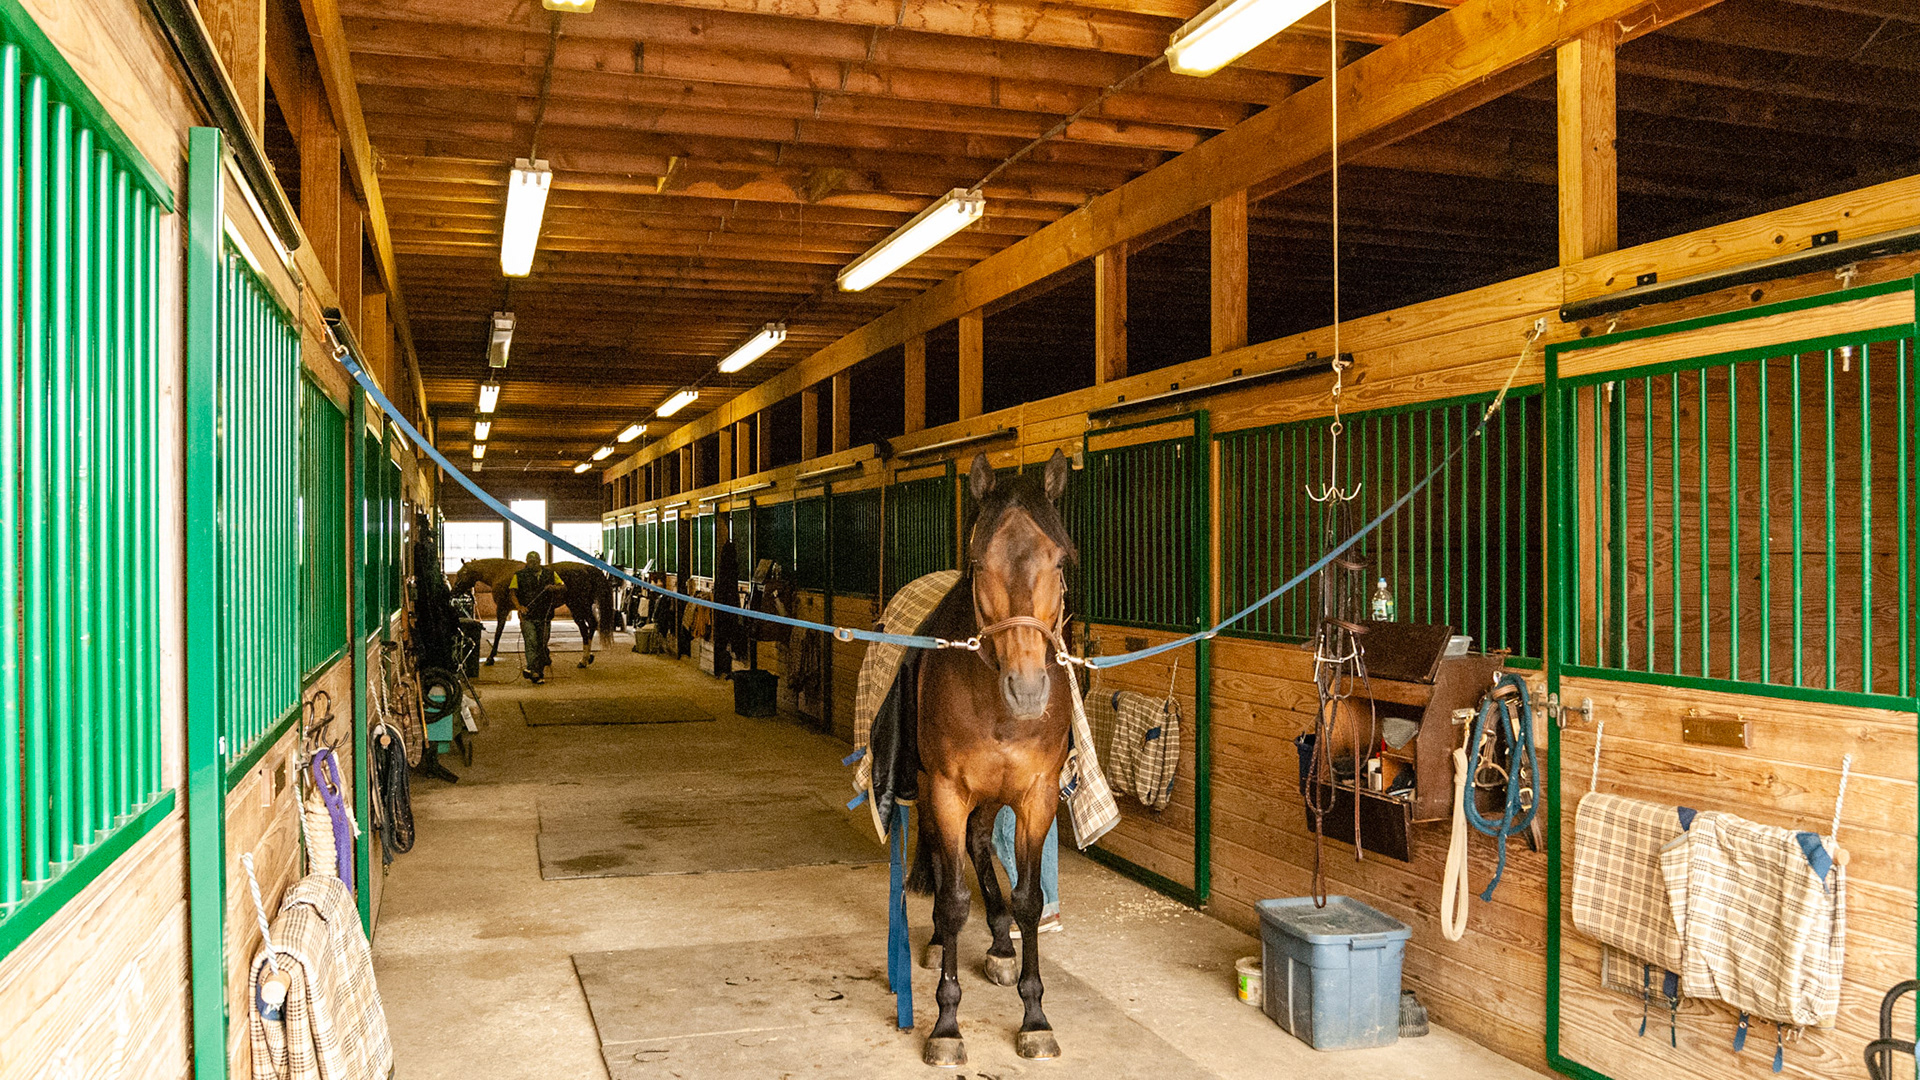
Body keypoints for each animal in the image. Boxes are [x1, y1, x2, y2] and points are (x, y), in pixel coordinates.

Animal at [447, 557, 615, 668]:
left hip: (577, 607)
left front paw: (490, 657)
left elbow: (498, 633)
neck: (501, 572)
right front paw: (546, 656)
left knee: (585, 629)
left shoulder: (503, 609)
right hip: (584, 607)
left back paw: (583, 660)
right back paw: (589, 657)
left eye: (462, 573)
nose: (453, 591)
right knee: (592, 625)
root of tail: (587, 568)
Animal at [905, 450, 1077, 1068]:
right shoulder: (948, 789)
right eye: (979, 562)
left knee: (979, 845)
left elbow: (1029, 900)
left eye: (1060, 559)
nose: (1027, 689)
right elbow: (955, 901)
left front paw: (1035, 1017)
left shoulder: (1035, 793)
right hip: (932, 788)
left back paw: (1001, 946)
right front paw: (946, 1026)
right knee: (942, 854)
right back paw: (937, 943)